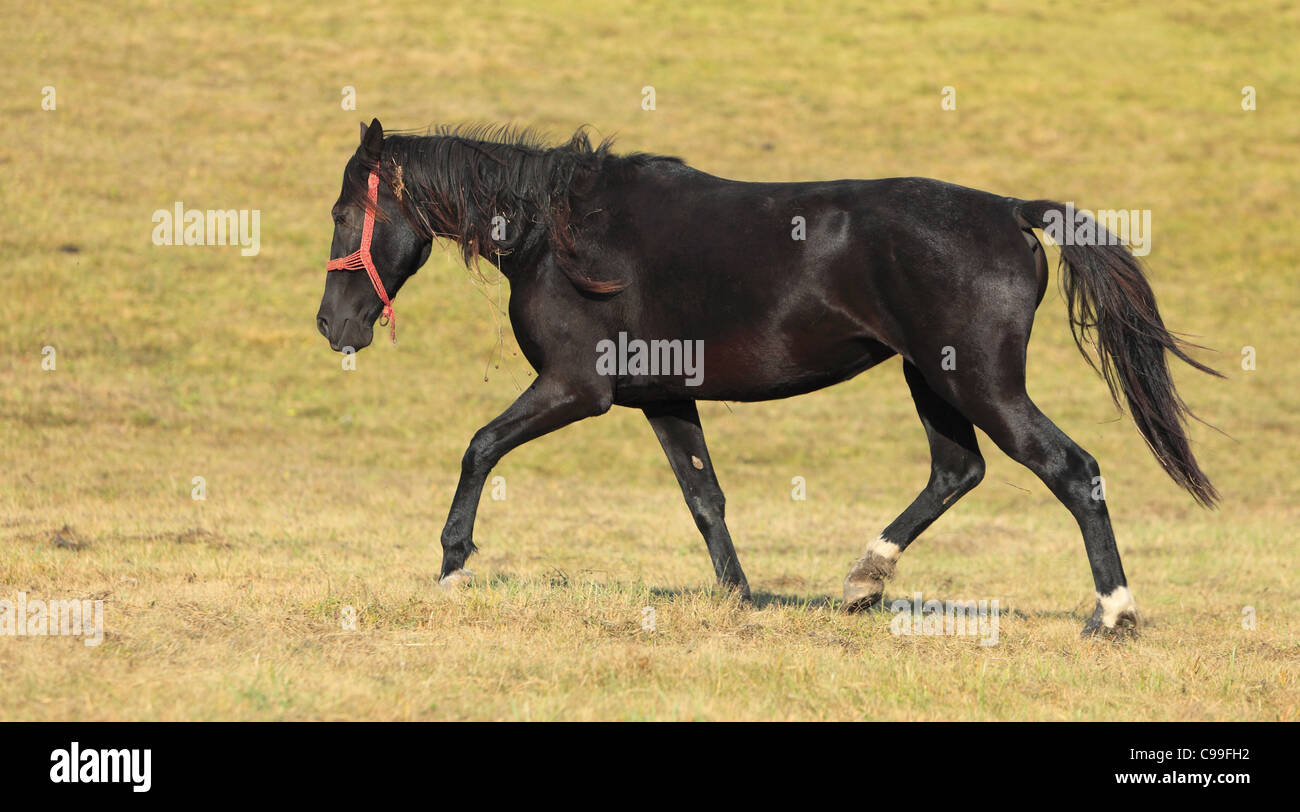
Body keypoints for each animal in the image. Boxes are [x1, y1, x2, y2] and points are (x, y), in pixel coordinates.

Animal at [316, 118, 1220, 638]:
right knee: (957, 470)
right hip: (935, 381)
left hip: (982, 385)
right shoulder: (664, 396)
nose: (333, 325)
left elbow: (478, 447)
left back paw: (1112, 614)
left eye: (340, 212)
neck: (559, 231)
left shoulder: (578, 388)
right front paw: (739, 599)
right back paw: (862, 584)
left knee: (1072, 469)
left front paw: (453, 566)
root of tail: (1010, 211)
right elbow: (704, 497)